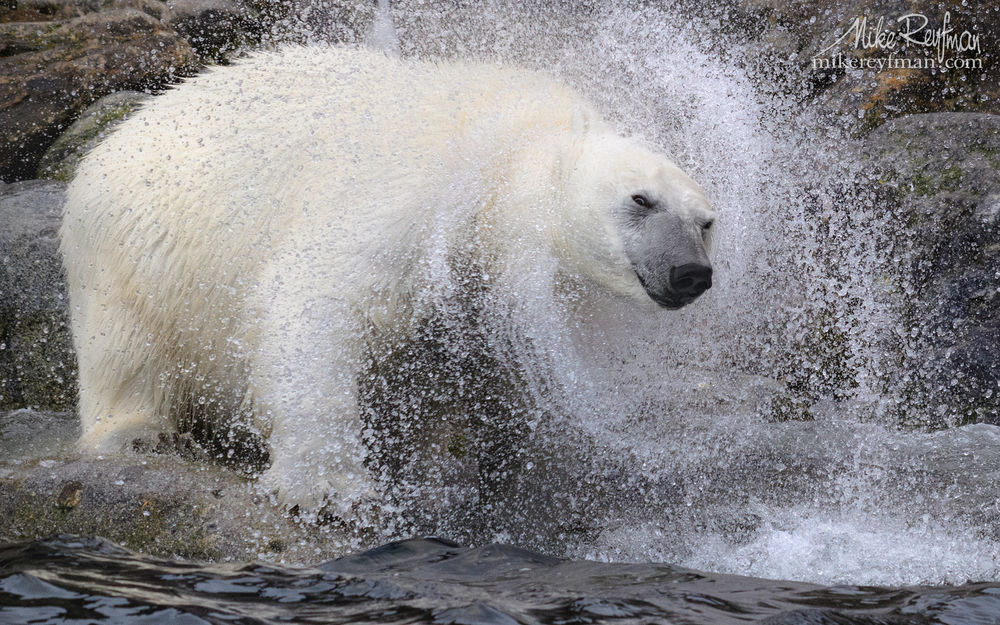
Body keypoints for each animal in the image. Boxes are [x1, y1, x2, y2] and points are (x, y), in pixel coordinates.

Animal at [58, 46, 716, 510]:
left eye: (708, 223)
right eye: (641, 199)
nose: (692, 274)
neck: (510, 152)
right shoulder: (418, 198)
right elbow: (317, 307)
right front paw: (329, 487)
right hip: (138, 251)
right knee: (128, 349)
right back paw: (139, 435)